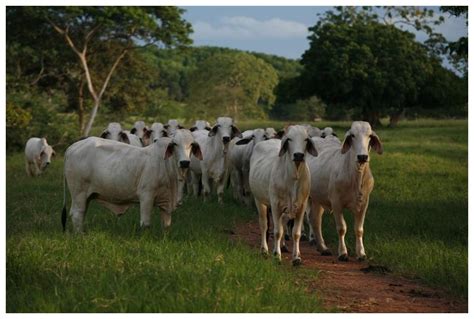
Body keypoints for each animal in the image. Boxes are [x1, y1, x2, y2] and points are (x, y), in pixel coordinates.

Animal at [248, 125, 318, 264]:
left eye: (306, 139)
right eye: (289, 139)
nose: (298, 155)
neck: (294, 176)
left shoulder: (301, 206)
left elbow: (296, 233)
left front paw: (296, 257)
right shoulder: (275, 205)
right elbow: (277, 232)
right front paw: (276, 255)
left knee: (283, 224)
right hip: (260, 201)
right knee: (264, 225)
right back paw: (264, 250)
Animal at [306, 121, 384, 262]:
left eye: (370, 135)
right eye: (352, 135)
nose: (362, 157)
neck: (356, 177)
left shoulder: (364, 204)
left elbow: (359, 229)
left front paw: (361, 253)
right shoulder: (336, 203)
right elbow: (342, 228)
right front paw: (343, 253)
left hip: (317, 199)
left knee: (315, 220)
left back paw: (323, 248)